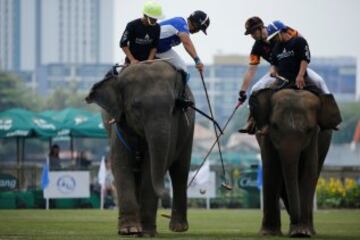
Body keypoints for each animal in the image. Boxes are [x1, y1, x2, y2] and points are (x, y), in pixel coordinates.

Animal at [85, 61, 194, 236]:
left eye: (173, 108)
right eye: (136, 106)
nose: (165, 201)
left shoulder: (174, 124)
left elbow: (150, 168)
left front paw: (147, 233)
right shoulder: (118, 125)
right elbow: (120, 164)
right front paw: (129, 230)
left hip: (189, 131)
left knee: (180, 171)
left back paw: (178, 228)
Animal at [249, 87, 342, 237]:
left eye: (309, 129)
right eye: (274, 126)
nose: (294, 219)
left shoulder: (314, 136)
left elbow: (309, 169)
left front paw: (301, 232)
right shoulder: (266, 135)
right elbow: (271, 168)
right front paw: (269, 233)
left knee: (315, 172)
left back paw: (310, 229)